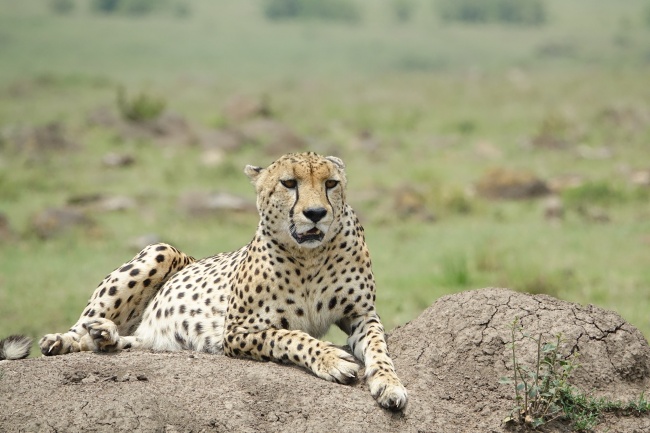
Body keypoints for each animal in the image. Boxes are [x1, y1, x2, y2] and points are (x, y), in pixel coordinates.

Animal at [1, 152, 404, 408]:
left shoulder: (360, 314)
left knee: (133, 341)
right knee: (81, 326)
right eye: (289, 183)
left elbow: (378, 347)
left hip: (153, 331)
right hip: (160, 250)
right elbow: (291, 336)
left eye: (331, 183)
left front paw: (389, 384)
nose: (316, 213)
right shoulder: (238, 330)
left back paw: (108, 337)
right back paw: (64, 339)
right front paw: (332, 359)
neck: (310, 255)